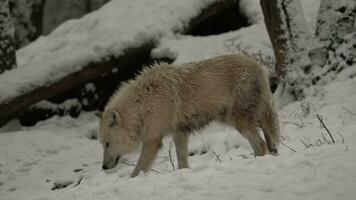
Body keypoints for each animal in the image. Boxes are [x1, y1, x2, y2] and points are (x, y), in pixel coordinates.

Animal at [96, 54, 280, 177]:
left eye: (107, 144)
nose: (103, 167)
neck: (143, 104)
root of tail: (258, 66)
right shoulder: (180, 133)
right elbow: (182, 162)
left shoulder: (152, 141)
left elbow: (138, 169)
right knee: (270, 142)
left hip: (238, 121)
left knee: (260, 145)